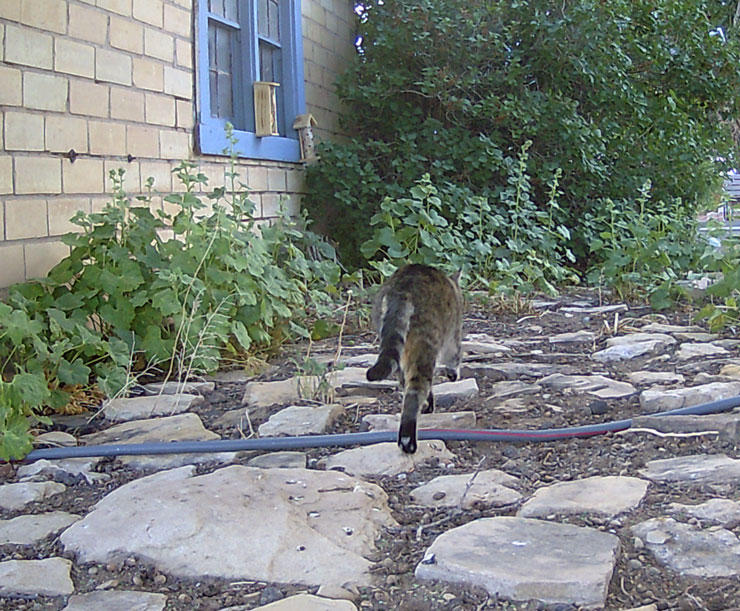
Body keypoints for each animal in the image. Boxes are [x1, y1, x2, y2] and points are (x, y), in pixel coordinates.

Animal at [366, 264, 464, 454]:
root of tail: (404, 287)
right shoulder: (453, 335)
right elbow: (455, 356)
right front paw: (453, 373)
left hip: (396, 345)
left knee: (405, 381)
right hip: (426, 341)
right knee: (416, 388)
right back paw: (407, 439)